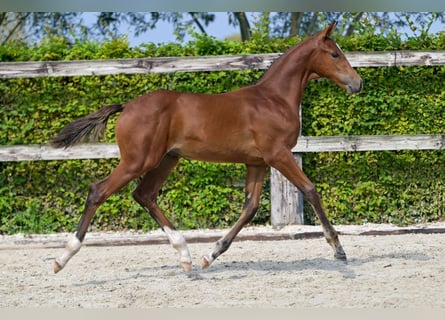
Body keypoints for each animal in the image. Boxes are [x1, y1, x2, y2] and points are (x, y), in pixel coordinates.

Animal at [51, 21, 360, 272]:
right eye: (335, 54)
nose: (358, 83)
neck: (273, 99)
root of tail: (127, 106)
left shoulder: (256, 162)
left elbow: (250, 207)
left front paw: (211, 255)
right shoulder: (278, 155)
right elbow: (310, 189)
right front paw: (338, 249)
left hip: (167, 159)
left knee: (144, 194)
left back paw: (185, 255)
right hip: (137, 161)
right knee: (99, 191)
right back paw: (62, 258)